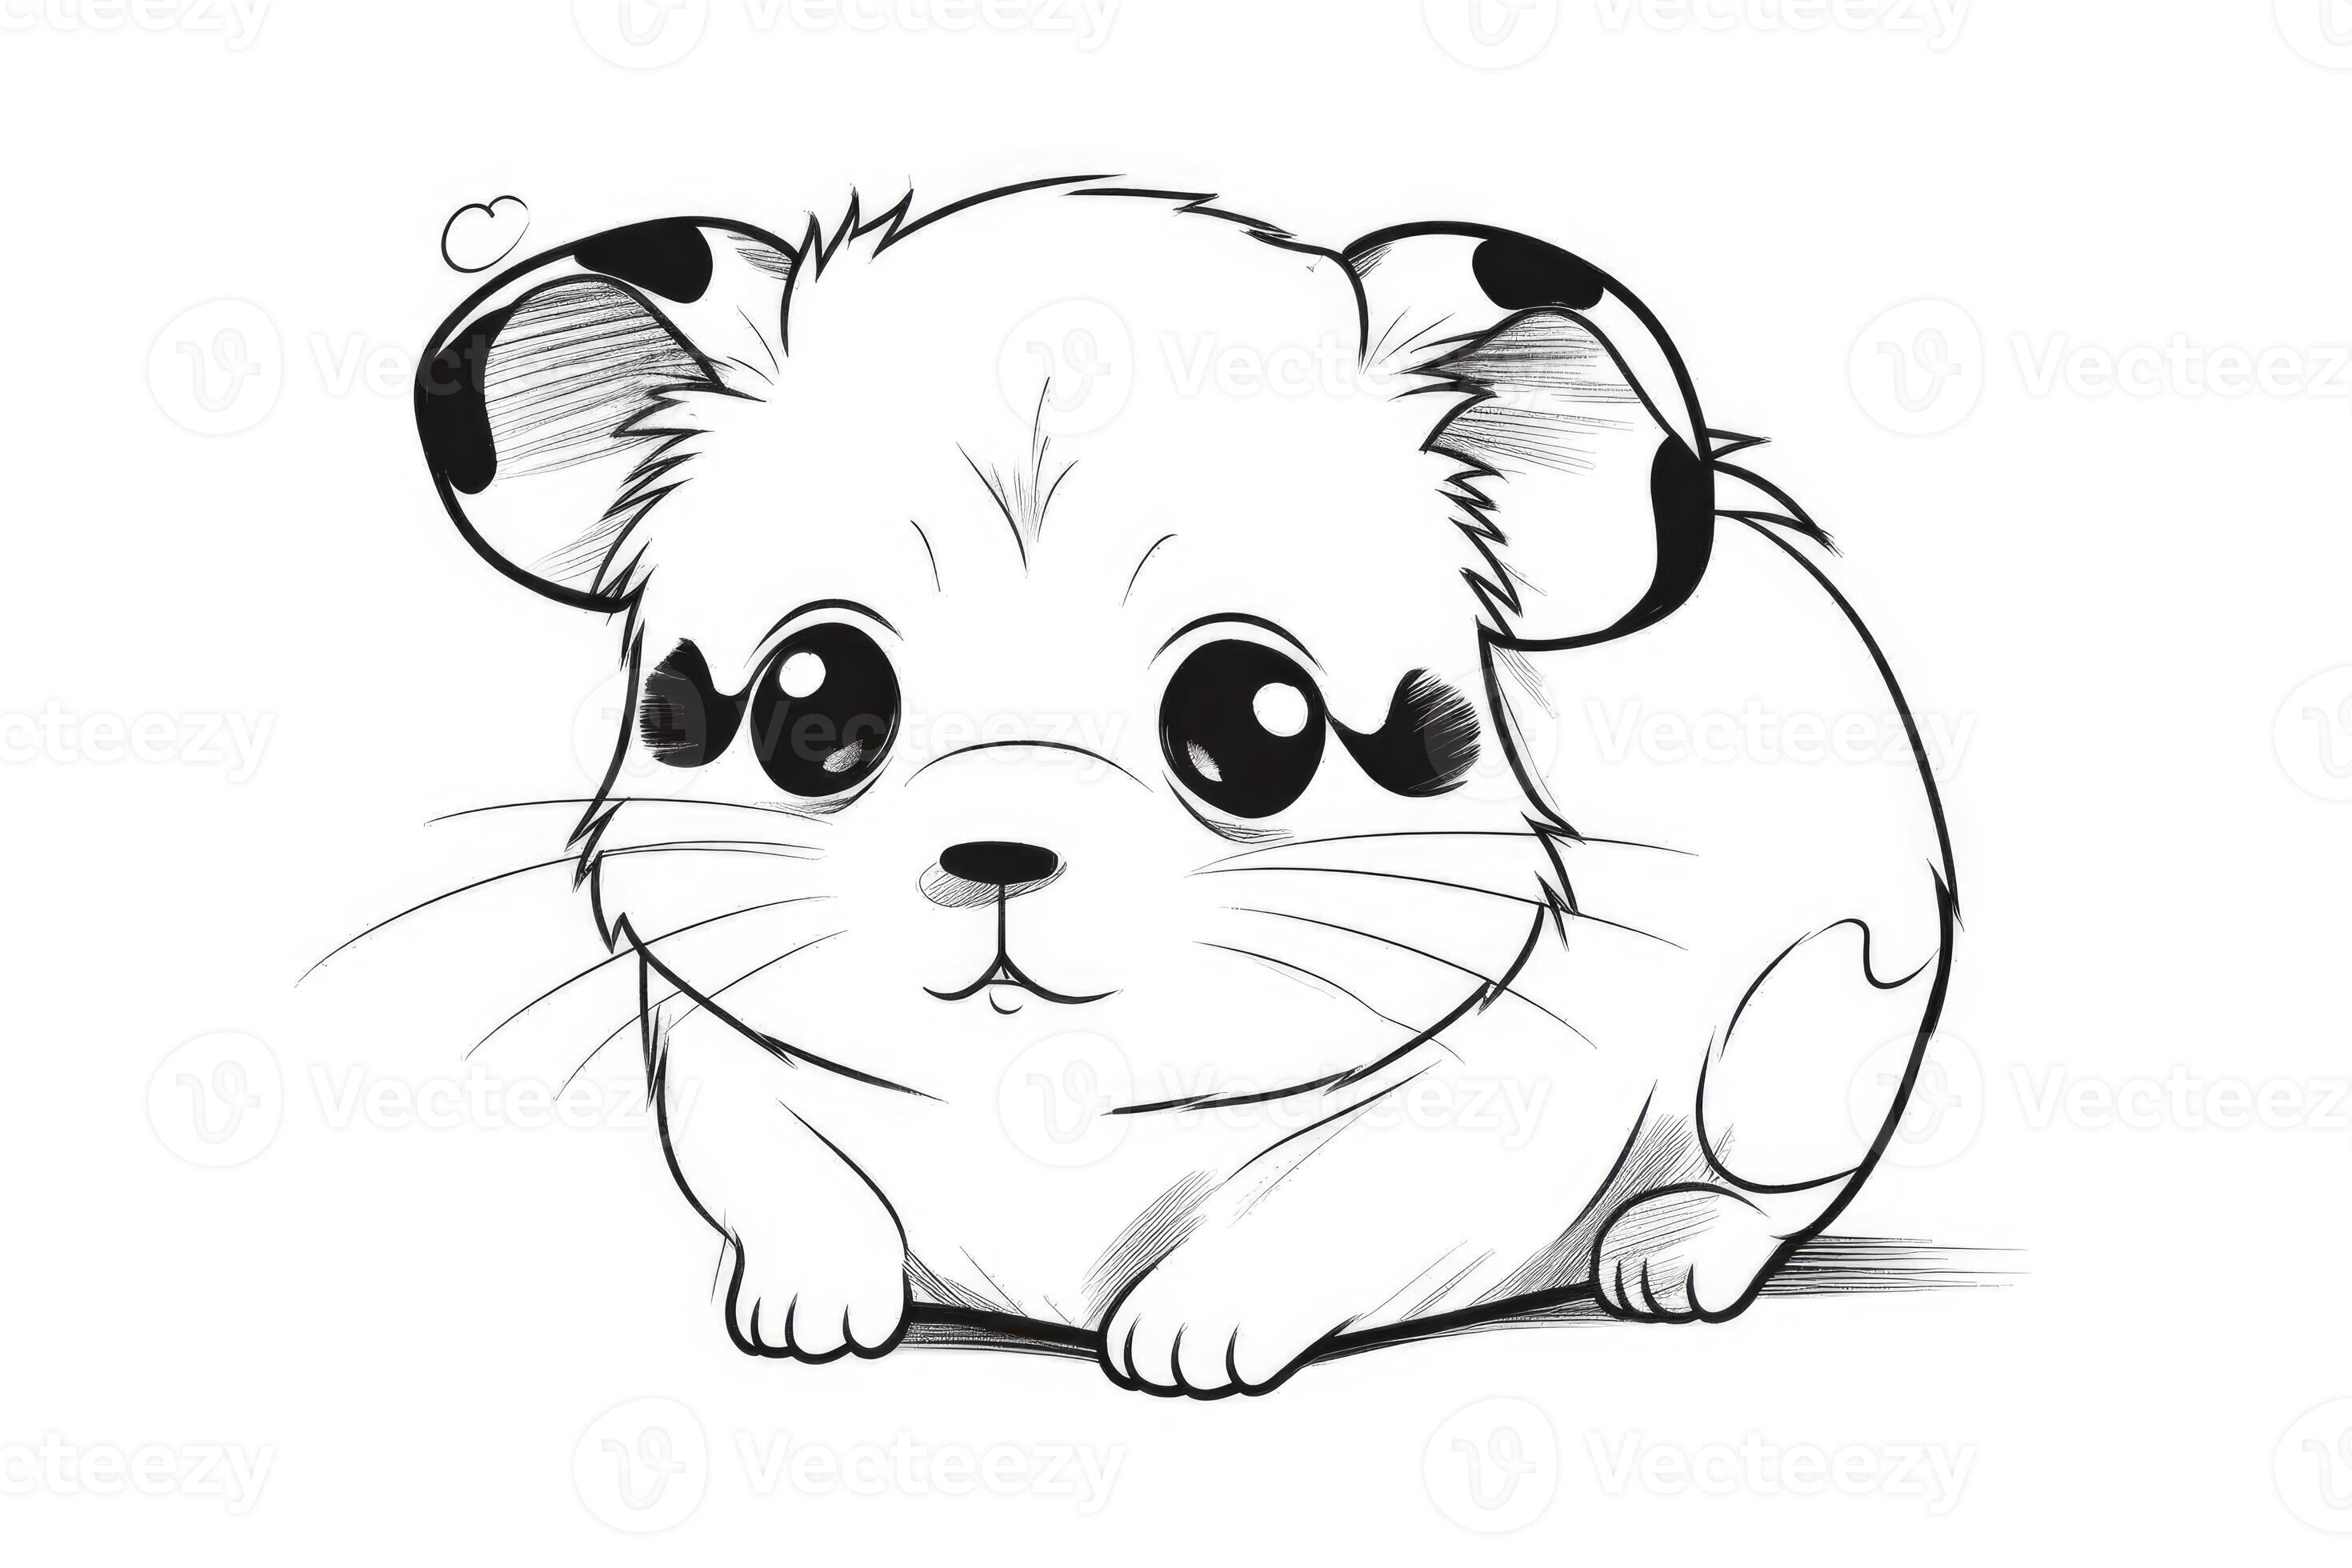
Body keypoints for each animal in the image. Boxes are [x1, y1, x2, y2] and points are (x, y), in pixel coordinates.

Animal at [414, 178, 1954, 1397]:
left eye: (1256, 720)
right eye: (812, 700)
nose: (998, 849)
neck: (1046, 1100)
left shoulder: (1493, 1101)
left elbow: (1332, 1202)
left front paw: (1190, 1334)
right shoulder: (720, 1041)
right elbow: (782, 1175)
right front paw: (809, 1307)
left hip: (1818, 1037)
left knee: (1773, 1187)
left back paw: (1673, 1259)